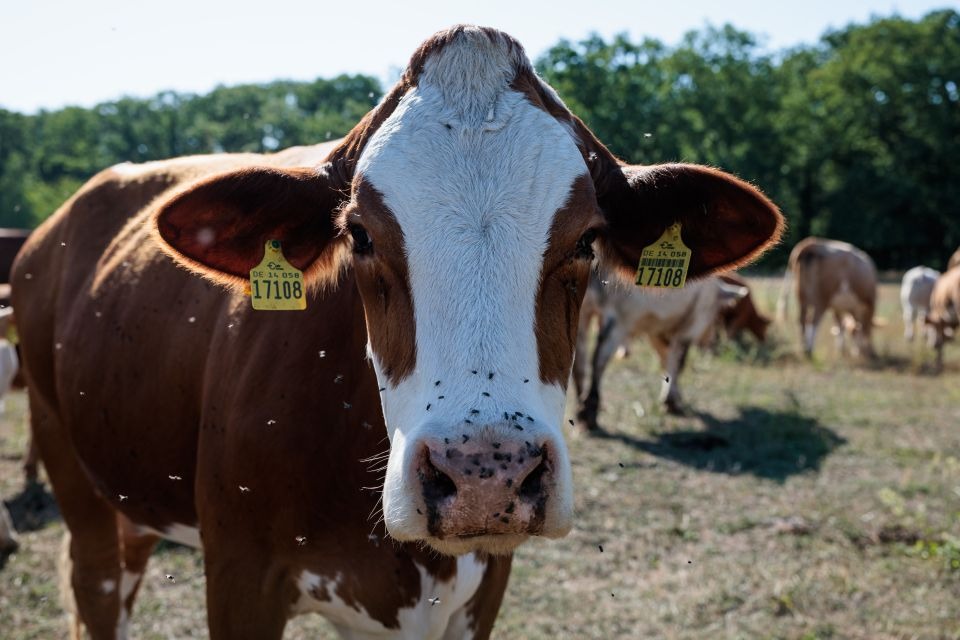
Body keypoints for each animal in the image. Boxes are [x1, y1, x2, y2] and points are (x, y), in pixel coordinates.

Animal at [13, 26, 780, 640]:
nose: (484, 477)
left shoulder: (480, 590)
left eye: (588, 239)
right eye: (359, 235)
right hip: (68, 464)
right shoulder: (240, 577)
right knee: (98, 588)